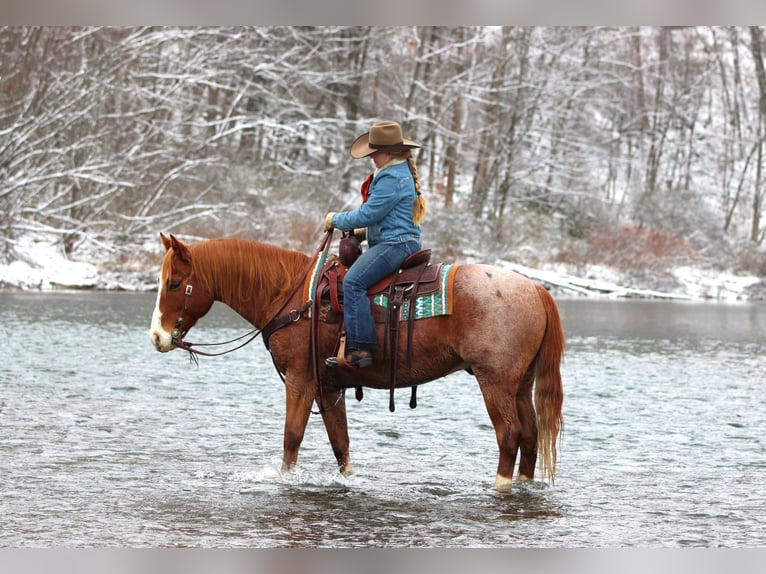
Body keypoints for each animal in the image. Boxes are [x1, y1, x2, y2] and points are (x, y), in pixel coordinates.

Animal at [149, 233, 565, 491]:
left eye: (174, 284)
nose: (157, 336)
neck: (292, 297)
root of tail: (535, 288)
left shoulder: (301, 379)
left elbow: (291, 436)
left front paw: (284, 481)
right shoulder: (329, 386)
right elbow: (341, 444)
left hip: (494, 382)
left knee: (509, 436)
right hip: (521, 385)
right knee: (530, 437)